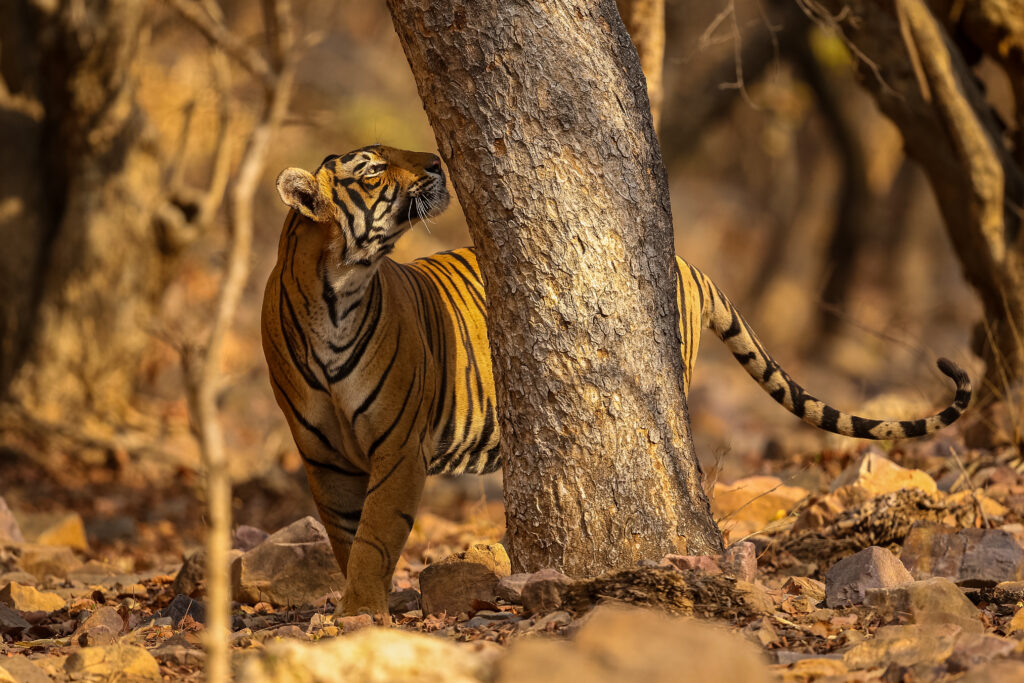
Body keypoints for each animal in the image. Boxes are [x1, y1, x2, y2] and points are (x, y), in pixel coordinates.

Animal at [261, 144, 971, 618]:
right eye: (372, 170)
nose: (437, 162)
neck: (337, 292)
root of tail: (685, 261)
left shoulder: (399, 446)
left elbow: (376, 533)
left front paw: (361, 611)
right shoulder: (322, 453)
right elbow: (347, 533)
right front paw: (357, 604)